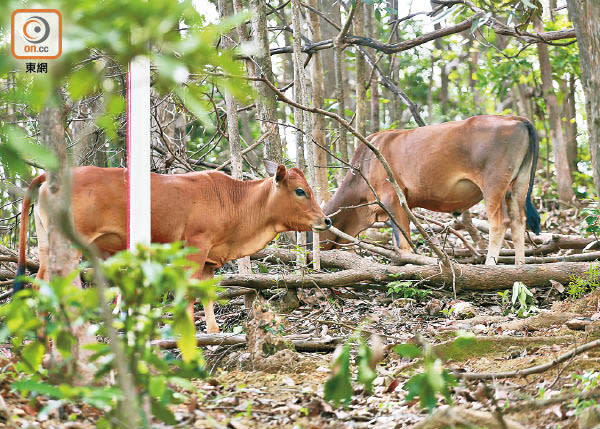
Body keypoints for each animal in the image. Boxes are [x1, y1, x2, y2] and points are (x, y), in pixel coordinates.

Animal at [16, 160, 332, 332]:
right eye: (300, 191)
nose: (326, 220)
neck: (235, 202)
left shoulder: (210, 259)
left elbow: (206, 293)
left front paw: (214, 330)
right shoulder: (196, 246)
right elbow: (188, 293)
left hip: (46, 244)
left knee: (40, 285)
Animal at [322, 115, 540, 266]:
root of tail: (515, 119)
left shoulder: (390, 198)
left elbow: (402, 242)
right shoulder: (403, 204)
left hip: (493, 185)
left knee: (499, 223)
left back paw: (490, 266)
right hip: (518, 184)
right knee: (518, 221)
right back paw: (520, 266)